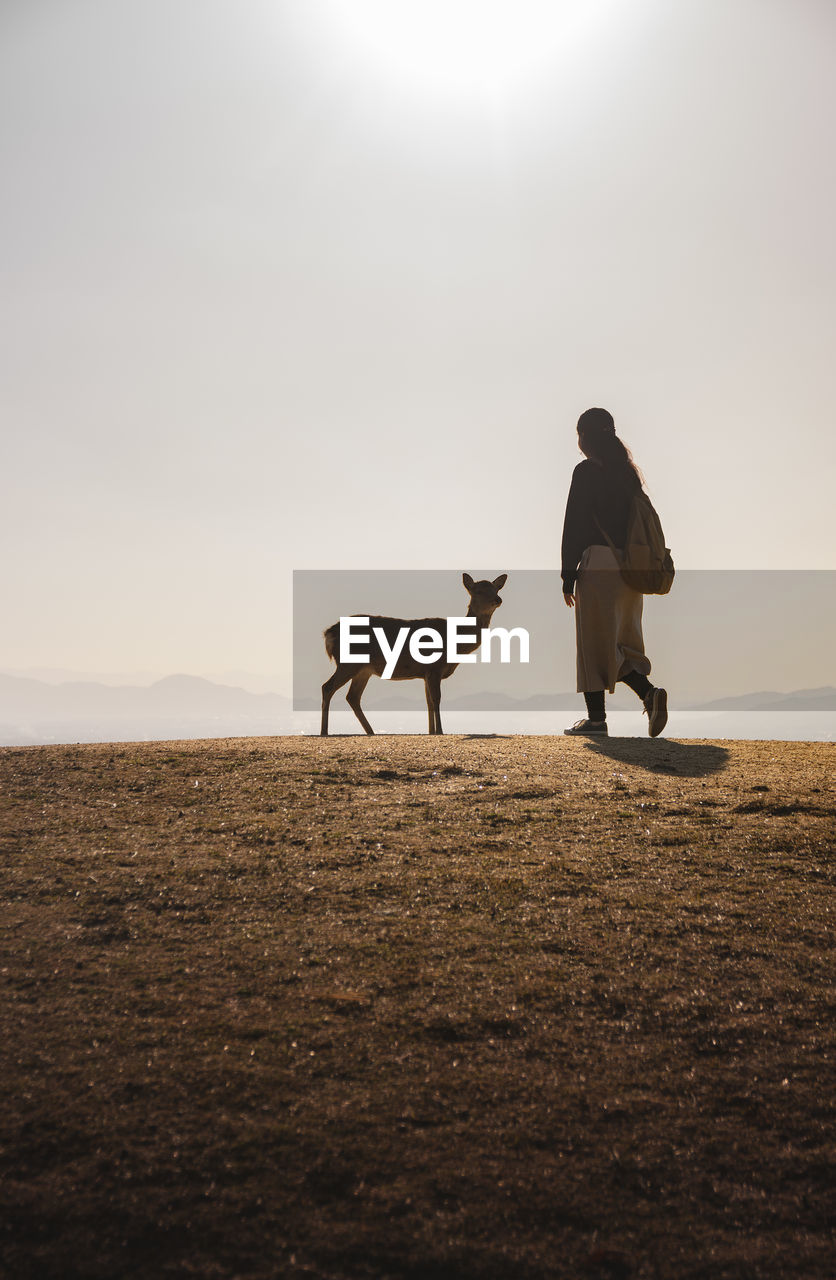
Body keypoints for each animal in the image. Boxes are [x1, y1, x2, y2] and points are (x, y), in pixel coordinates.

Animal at [320, 573, 504, 737]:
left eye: (496, 589)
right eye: (478, 591)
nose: (498, 600)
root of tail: (328, 633)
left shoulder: (425, 673)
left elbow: (428, 702)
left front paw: (431, 731)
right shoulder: (434, 668)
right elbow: (436, 699)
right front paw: (440, 731)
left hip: (364, 670)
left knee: (352, 696)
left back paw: (370, 731)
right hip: (348, 663)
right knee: (327, 687)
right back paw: (324, 731)